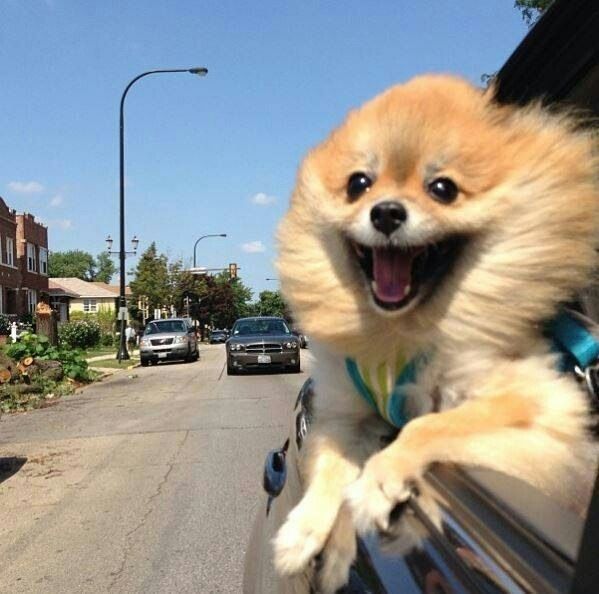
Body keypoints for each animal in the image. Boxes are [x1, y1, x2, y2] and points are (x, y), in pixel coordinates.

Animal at [274, 73, 596, 588]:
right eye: (358, 184)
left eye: (442, 188)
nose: (386, 212)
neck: (398, 333)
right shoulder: (345, 415)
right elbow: (327, 466)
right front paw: (302, 531)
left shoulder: (545, 411)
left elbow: (431, 422)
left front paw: (379, 480)